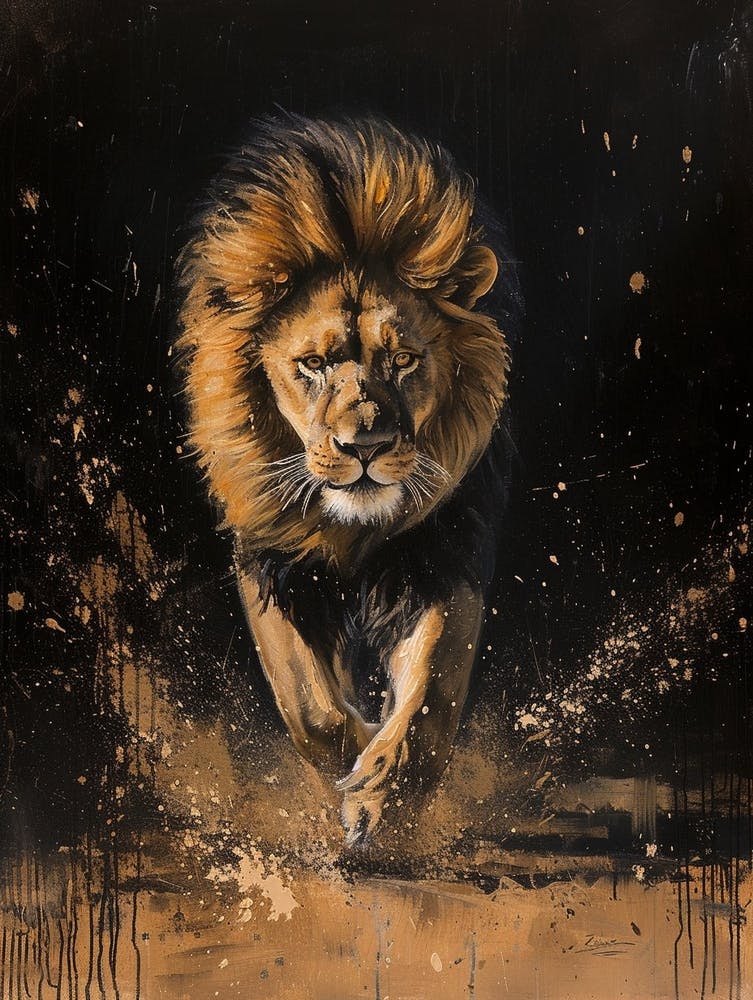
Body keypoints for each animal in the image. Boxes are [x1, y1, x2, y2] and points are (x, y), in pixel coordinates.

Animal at [175, 113, 520, 845]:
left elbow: (429, 697)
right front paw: (355, 762)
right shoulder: (271, 562)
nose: (365, 445)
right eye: (313, 363)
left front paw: (382, 795)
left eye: (404, 360)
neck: (355, 533)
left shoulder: (442, 556)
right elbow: (310, 705)